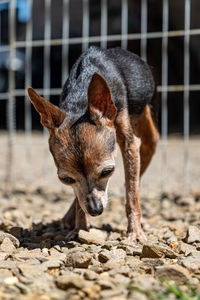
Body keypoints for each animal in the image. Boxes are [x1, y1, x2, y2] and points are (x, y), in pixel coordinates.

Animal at [27, 47, 159, 244]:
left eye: (107, 172)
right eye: (66, 180)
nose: (95, 210)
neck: (80, 103)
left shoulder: (130, 144)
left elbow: (131, 193)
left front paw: (135, 232)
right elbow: (79, 199)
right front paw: (80, 228)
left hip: (146, 136)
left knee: (138, 171)